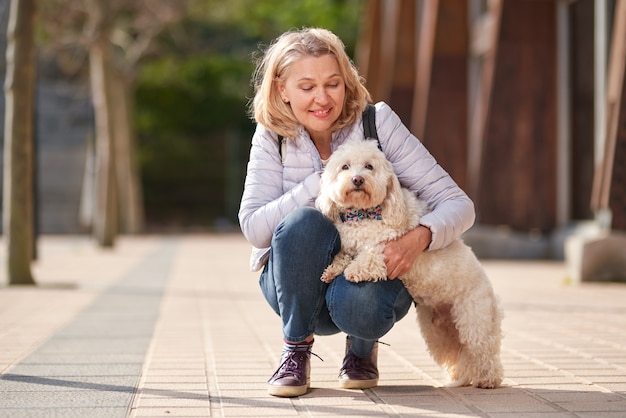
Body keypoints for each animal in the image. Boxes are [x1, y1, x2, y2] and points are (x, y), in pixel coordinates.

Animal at [316, 140, 502, 388]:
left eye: (369, 166)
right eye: (345, 167)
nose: (357, 179)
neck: (364, 214)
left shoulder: (386, 248)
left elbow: (369, 256)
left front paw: (354, 270)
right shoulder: (348, 245)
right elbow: (343, 256)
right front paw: (331, 270)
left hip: (474, 319)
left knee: (483, 350)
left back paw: (488, 379)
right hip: (438, 333)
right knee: (456, 354)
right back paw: (458, 377)